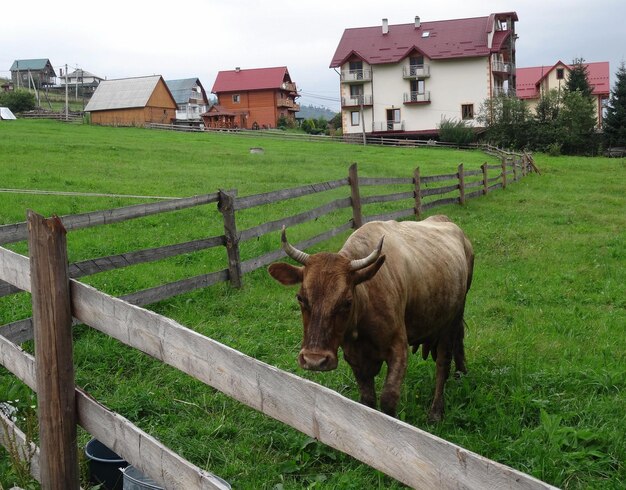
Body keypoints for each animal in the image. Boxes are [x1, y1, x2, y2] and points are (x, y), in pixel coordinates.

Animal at [264, 216, 472, 424]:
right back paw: (461, 374)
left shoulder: (398, 348)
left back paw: (437, 410)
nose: (314, 360)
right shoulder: (354, 356)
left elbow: (388, 399)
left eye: (347, 302)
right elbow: (367, 400)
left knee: (443, 363)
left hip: (451, 320)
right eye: (300, 298)